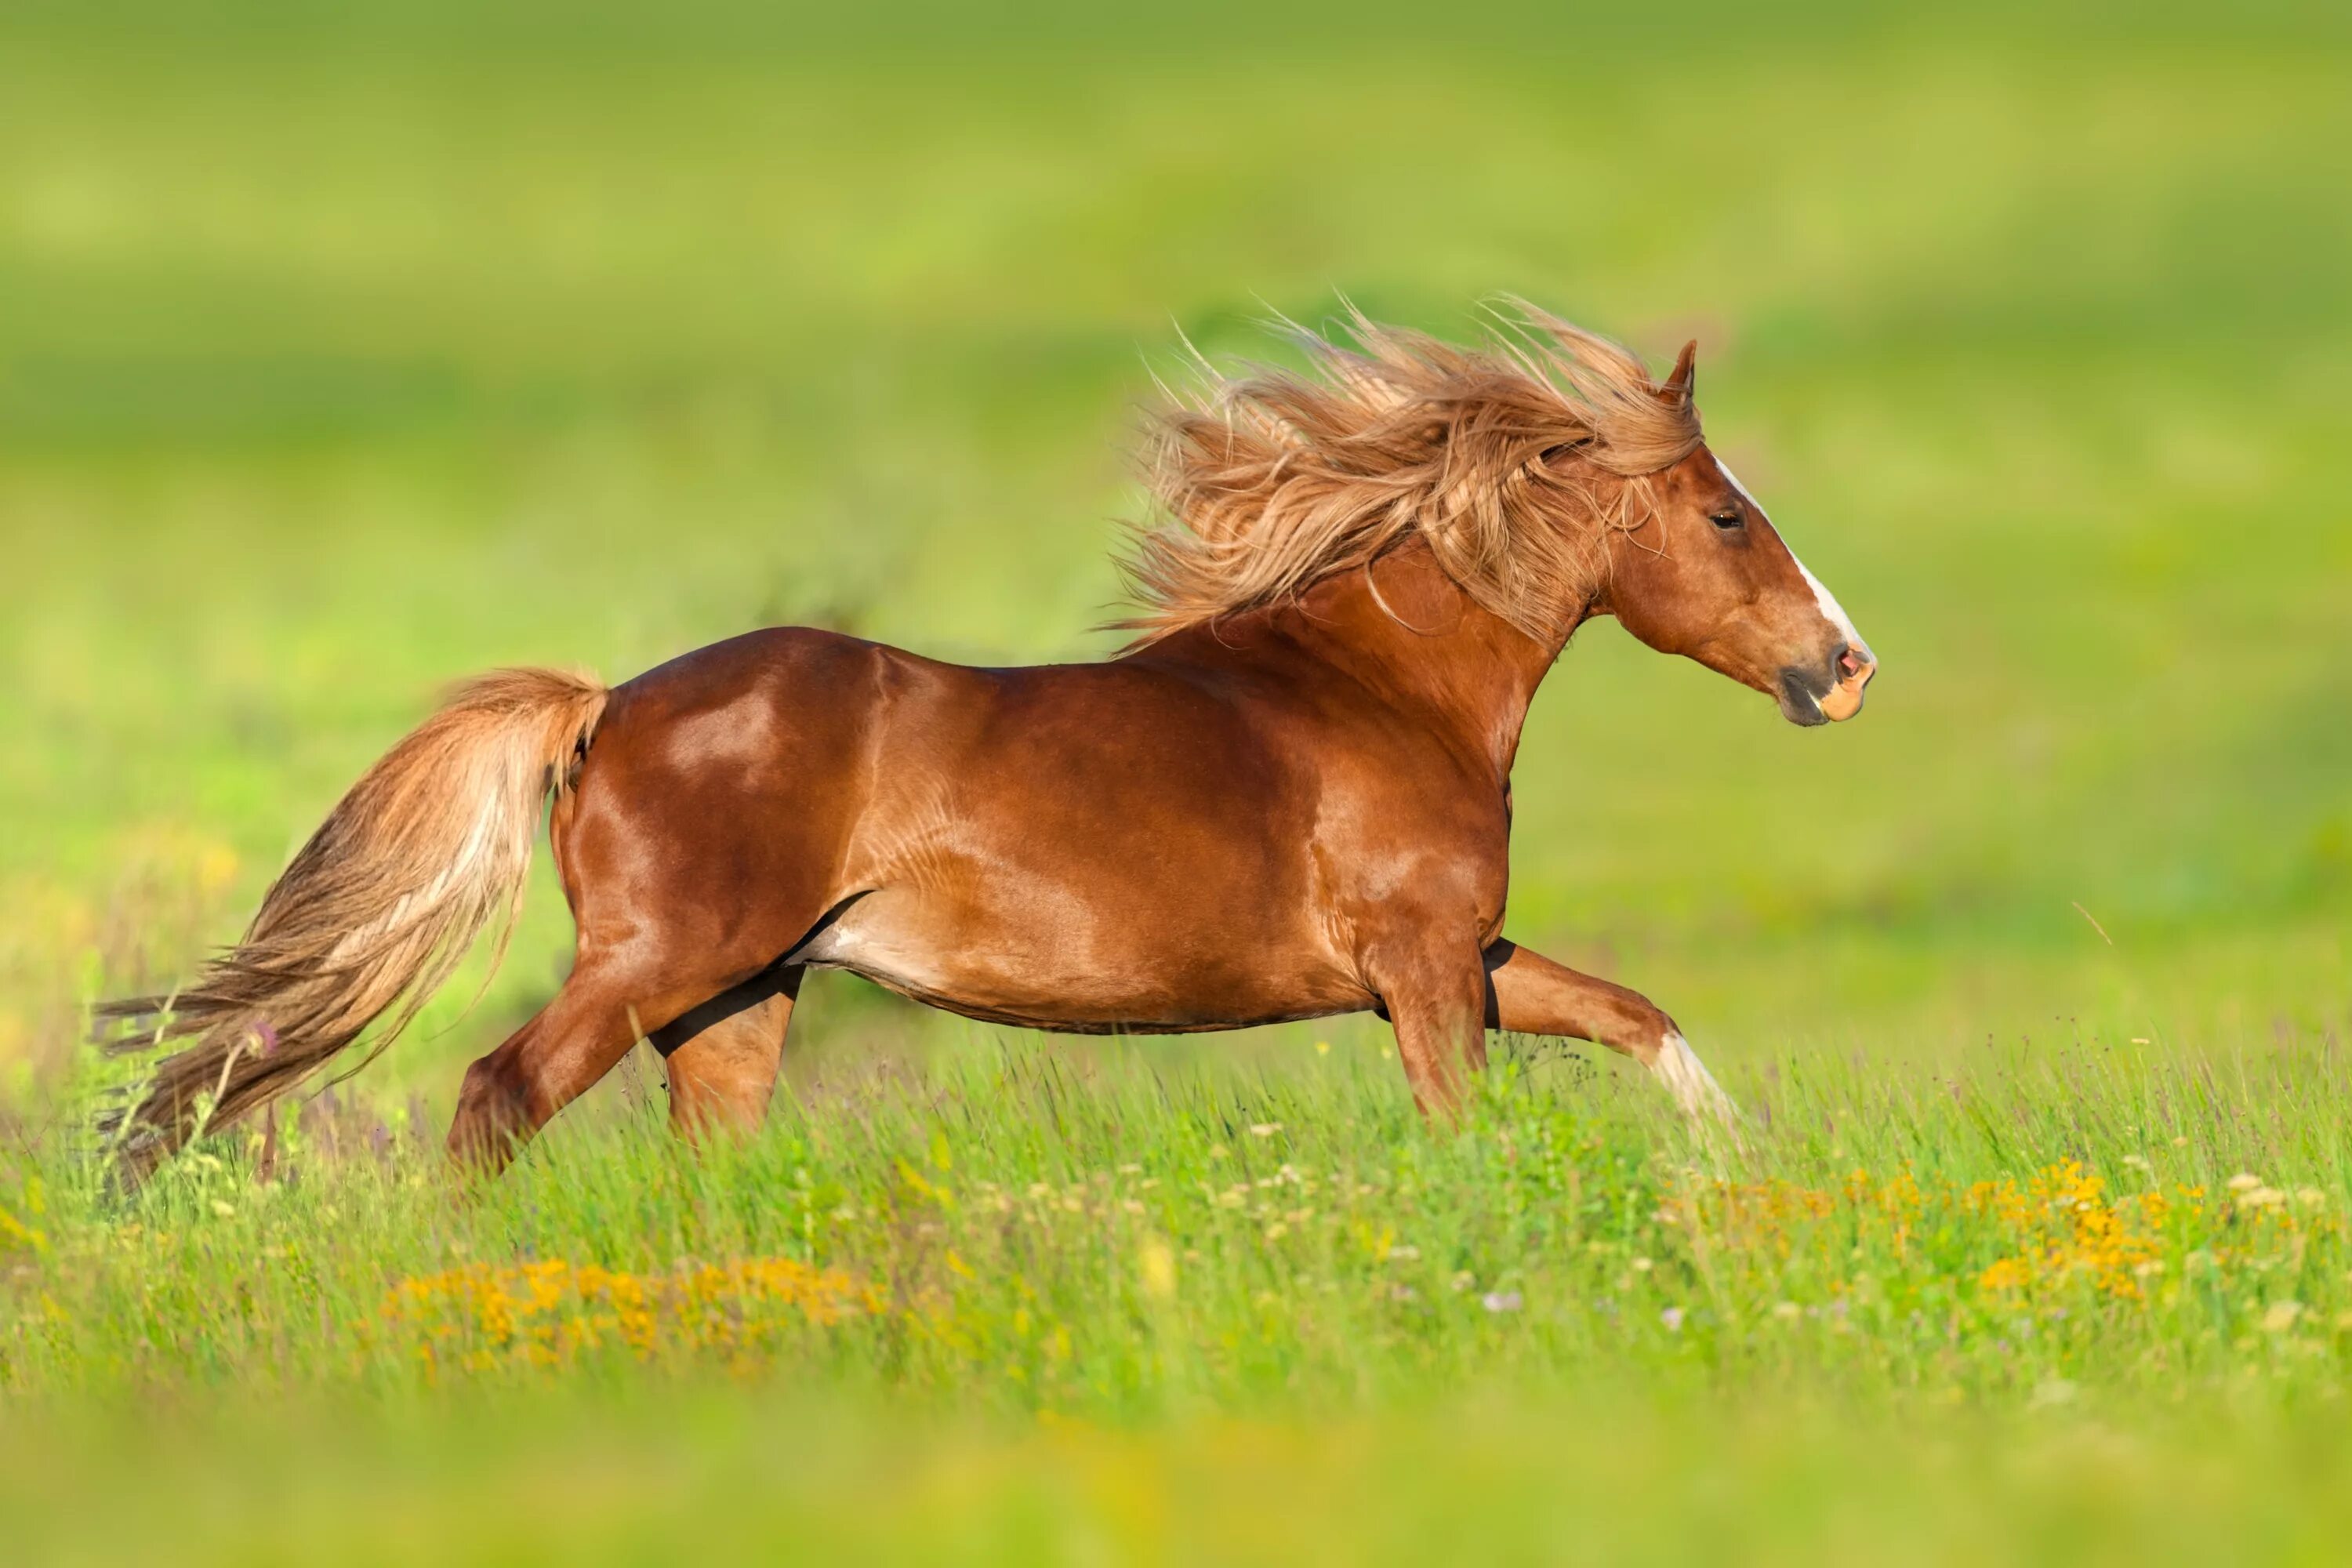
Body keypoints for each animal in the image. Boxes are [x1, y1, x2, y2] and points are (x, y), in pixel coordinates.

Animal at [101, 310, 1882, 1175]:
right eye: (1726, 513)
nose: (1845, 668)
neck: (1374, 689)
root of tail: (607, 707)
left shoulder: (1461, 956)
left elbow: (1639, 1017)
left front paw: (1744, 1166)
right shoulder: (1424, 965)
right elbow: (1469, 1119)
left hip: (736, 1004)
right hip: (661, 963)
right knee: (493, 1096)